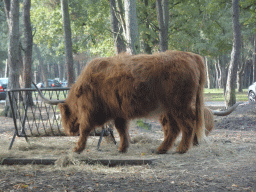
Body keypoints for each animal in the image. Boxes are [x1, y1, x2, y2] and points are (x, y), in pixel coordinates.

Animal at [35, 50, 207, 154]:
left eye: (65, 115)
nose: (69, 131)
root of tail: (191, 56)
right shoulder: (118, 112)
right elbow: (122, 129)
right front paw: (123, 148)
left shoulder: (90, 111)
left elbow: (85, 129)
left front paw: (77, 148)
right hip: (168, 108)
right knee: (174, 128)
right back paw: (161, 149)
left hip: (179, 105)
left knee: (188, 124)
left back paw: (181, 149)